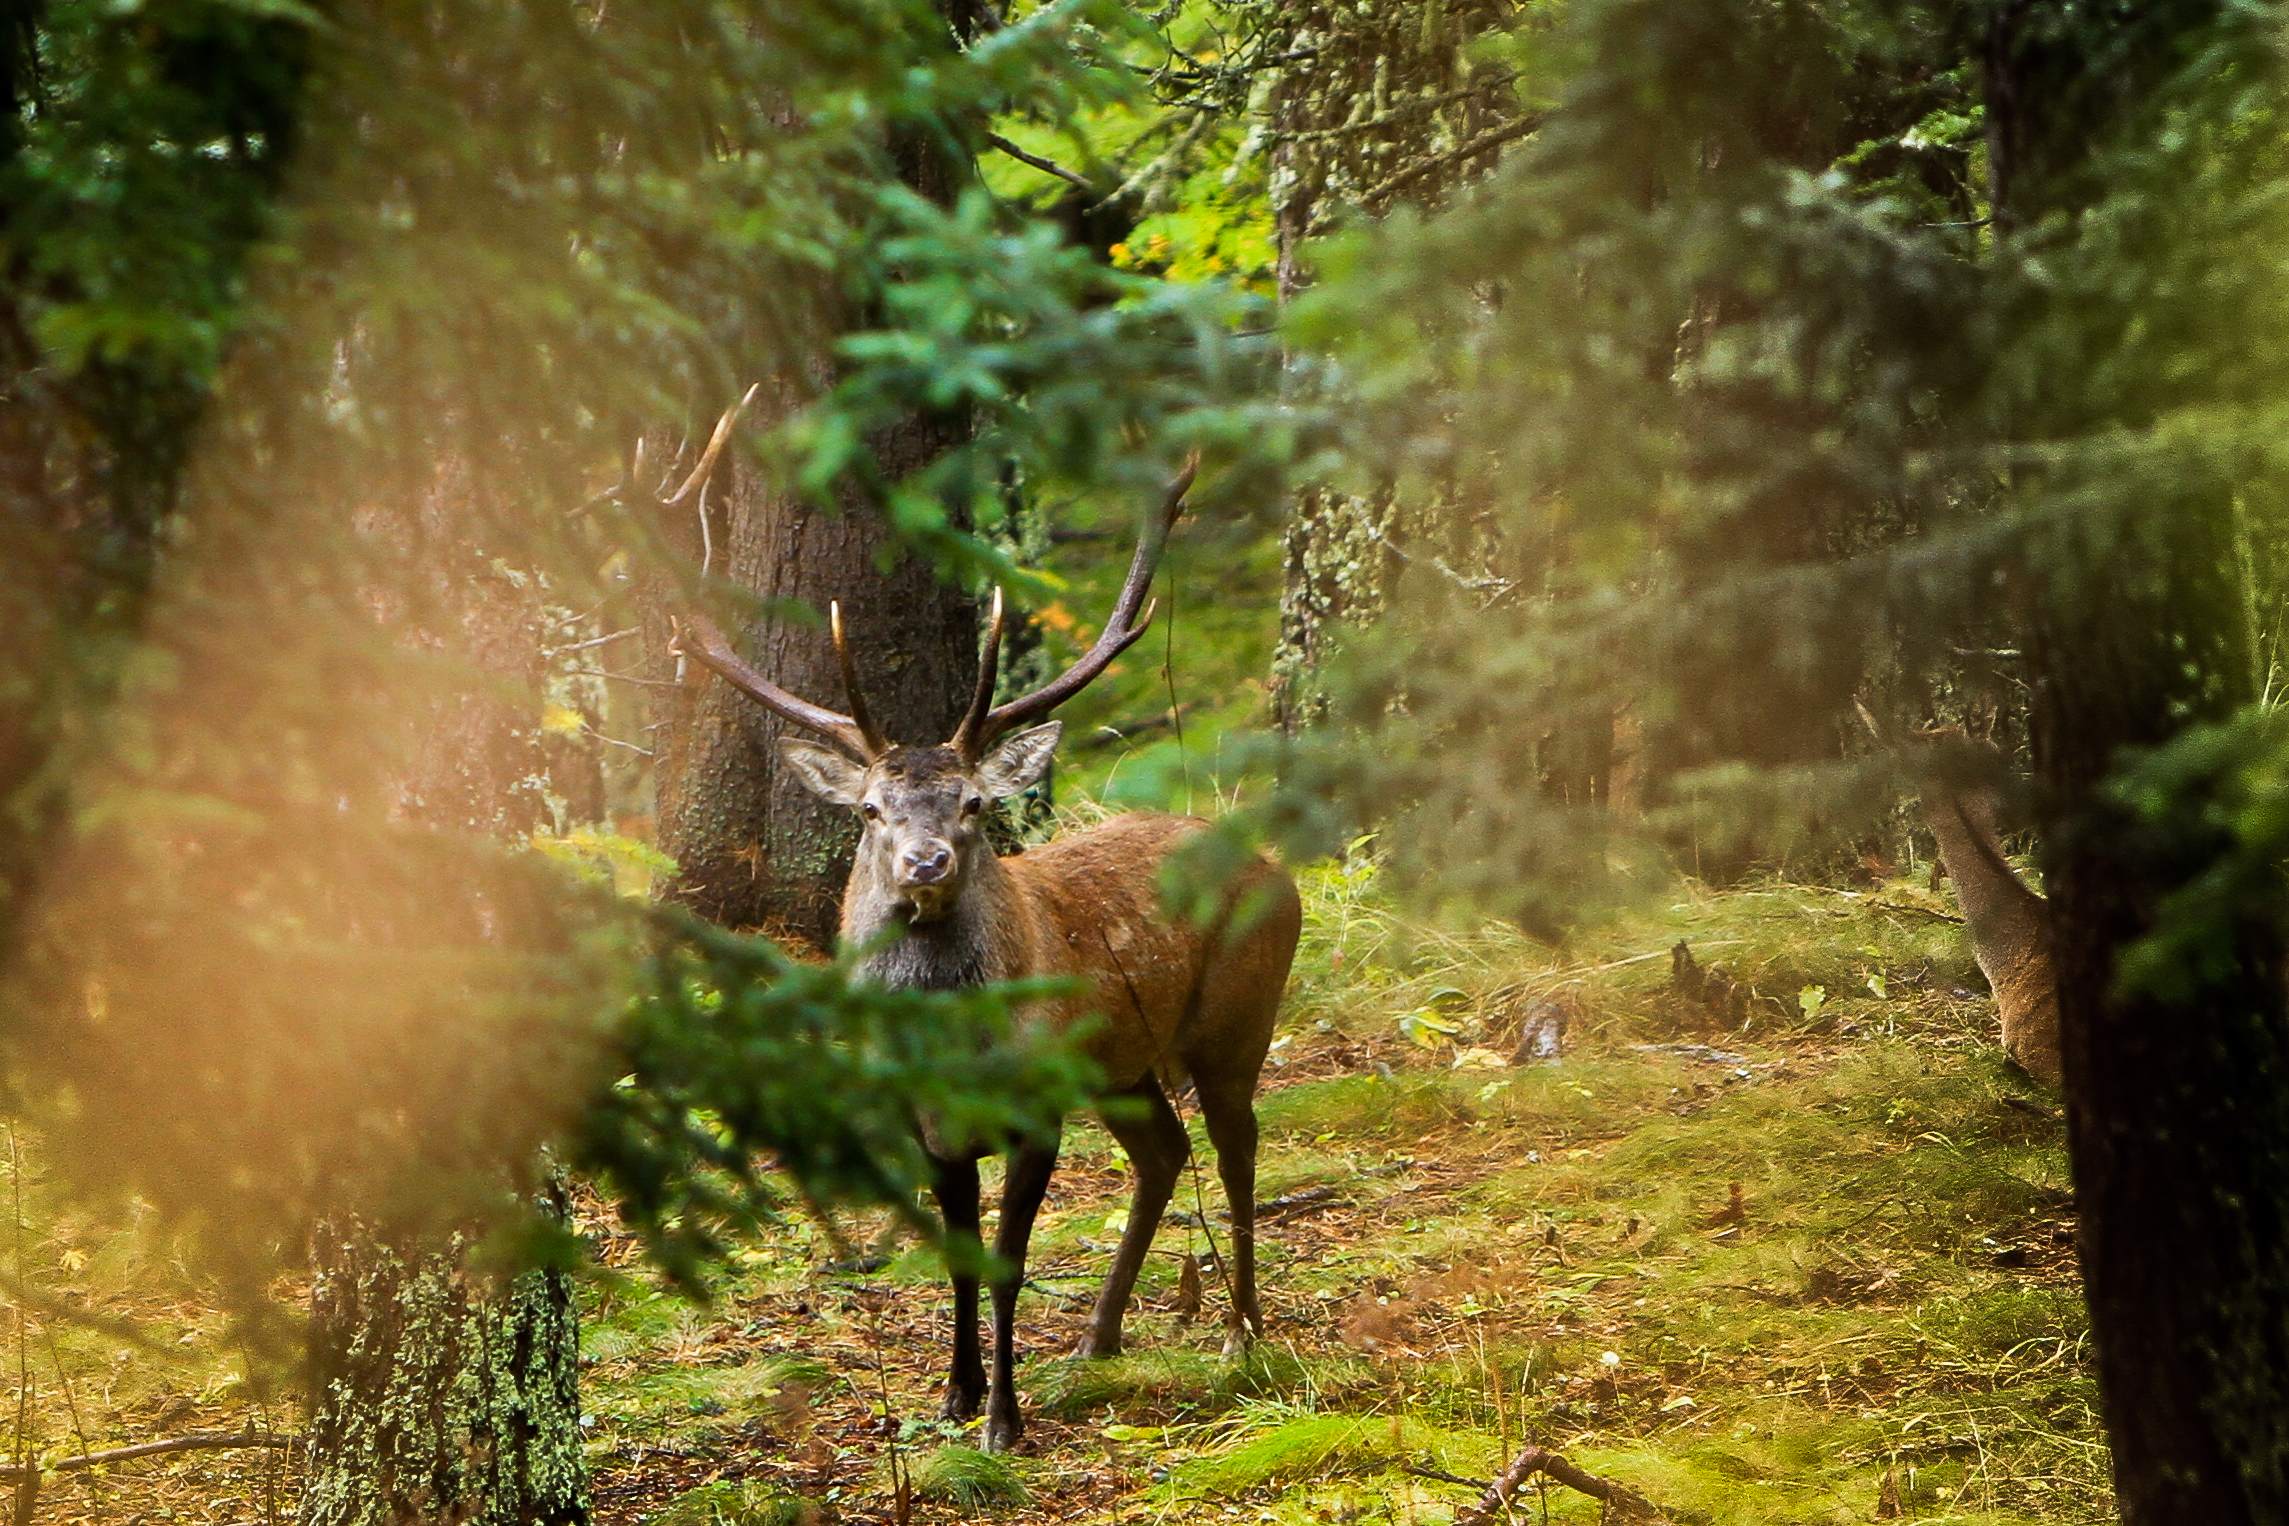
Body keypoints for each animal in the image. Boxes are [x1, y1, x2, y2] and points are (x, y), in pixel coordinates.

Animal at [670, 461, 1301, 1452]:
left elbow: (1007, 1259)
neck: (952, 1048)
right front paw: (954, 1394)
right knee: (1162, 1152)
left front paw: (1004, 1420)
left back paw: (1241, 1329)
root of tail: (1279, 870)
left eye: (971, 803)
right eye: (870, 811)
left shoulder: (1035, 1111)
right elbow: (960, 1255)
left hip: (1237, 1019)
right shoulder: (926, 1125)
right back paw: (1097, 1336)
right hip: (1121, 1065)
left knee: (1236, 1150)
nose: (924, 862)